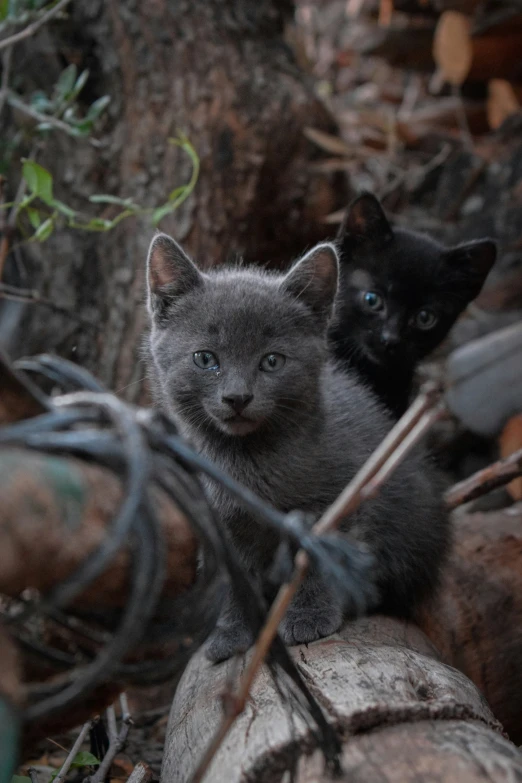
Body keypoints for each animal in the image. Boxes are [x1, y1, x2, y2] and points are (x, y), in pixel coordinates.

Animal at [144, 236, 448, 664]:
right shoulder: (219, 518)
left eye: (272, 361)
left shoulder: (339, 496)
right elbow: (232, 576)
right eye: (205, 358)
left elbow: (320, 556)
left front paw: (309, 616)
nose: (237, 397)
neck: (247, 460)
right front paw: (230, 632)